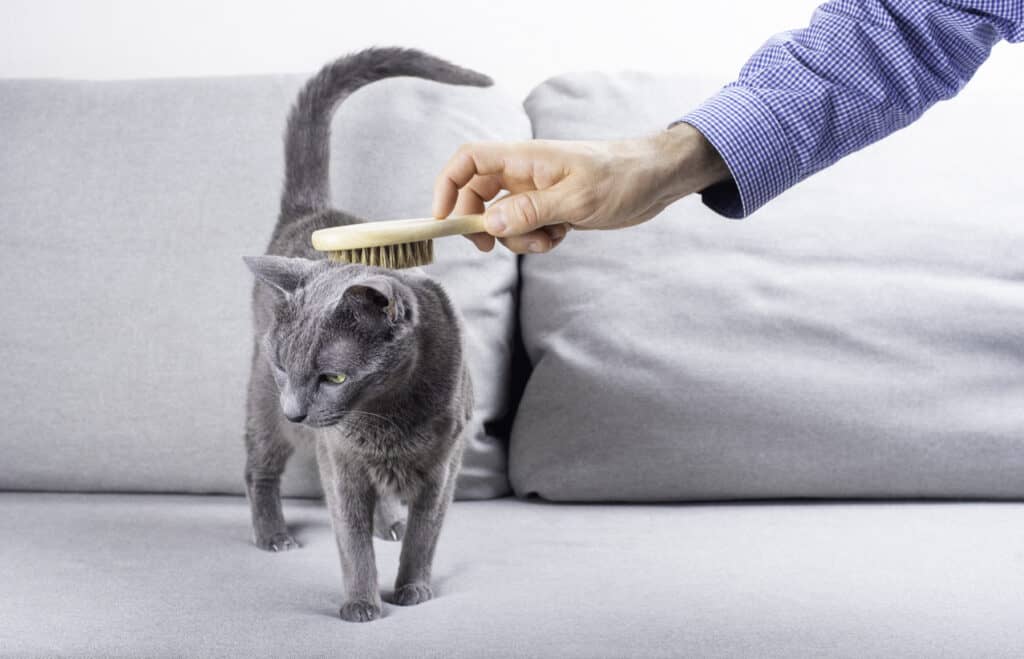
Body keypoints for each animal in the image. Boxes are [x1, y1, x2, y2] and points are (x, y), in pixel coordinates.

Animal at [239, 47, 487, 622]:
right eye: (285, 366)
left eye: (333, 377)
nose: (296, 412)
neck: (386, 415)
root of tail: (314, 213)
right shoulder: (340, 462)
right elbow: (350, 540)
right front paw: (361, 604)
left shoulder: (444, 466)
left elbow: (425, 534)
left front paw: (413, 588)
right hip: (261, 404)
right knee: (259, 467)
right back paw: (274, 534)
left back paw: (388, 522)